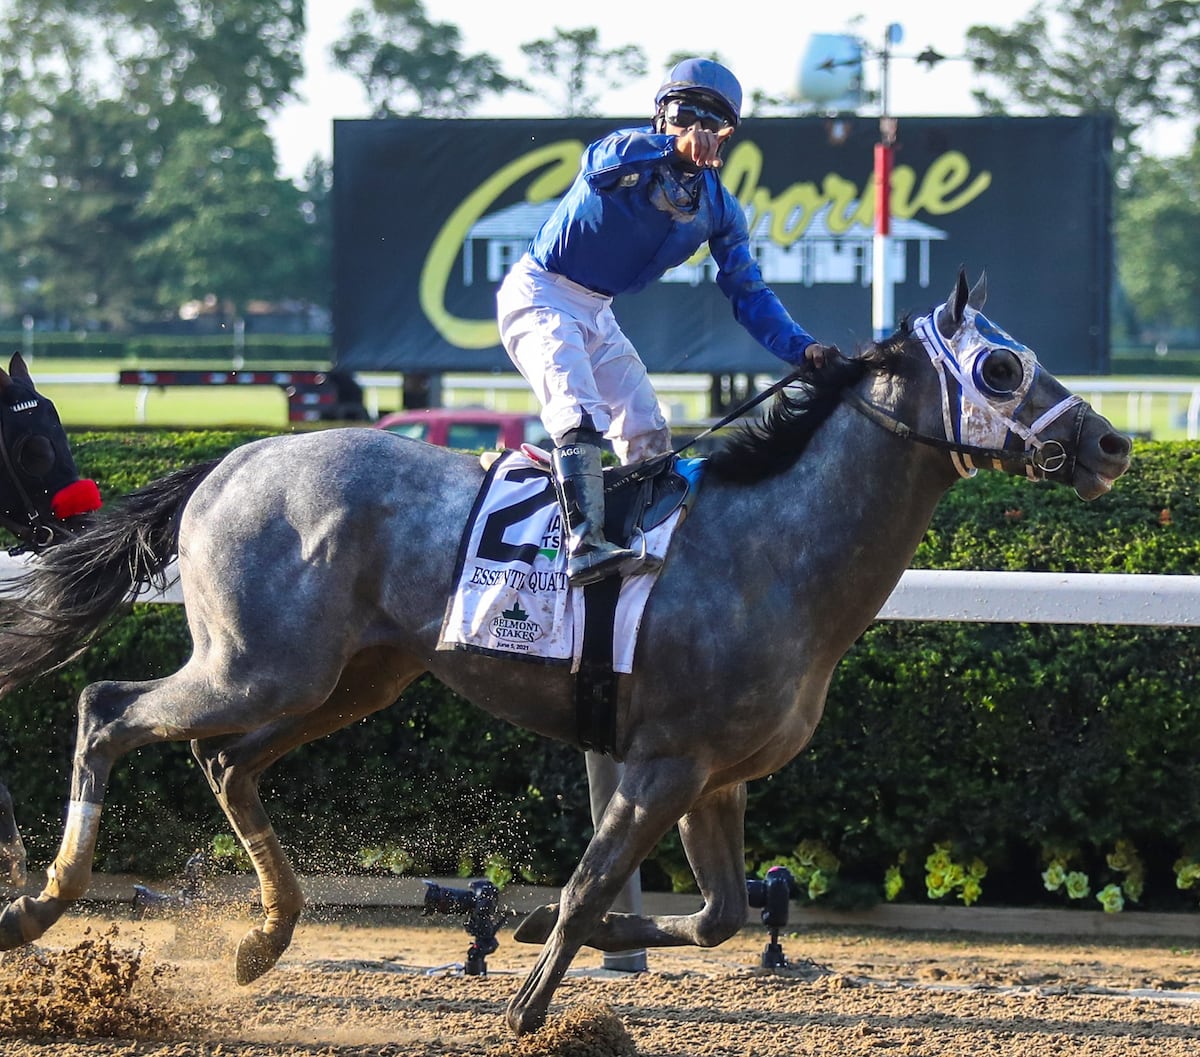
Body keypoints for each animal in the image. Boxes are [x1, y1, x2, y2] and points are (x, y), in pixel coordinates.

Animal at [0, 274, 1128, 1041]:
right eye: (1000, 367)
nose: (1112, 444)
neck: (774, 547)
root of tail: (225, 462)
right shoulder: (662, 761)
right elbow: (595, 882)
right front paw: (530, 1000)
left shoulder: (716, 775)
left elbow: (718, 916)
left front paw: (543, 927)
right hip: (257, 664)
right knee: (107, 709)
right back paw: (42, 900)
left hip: (351, 675)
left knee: (225, 759)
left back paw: (262, 936)